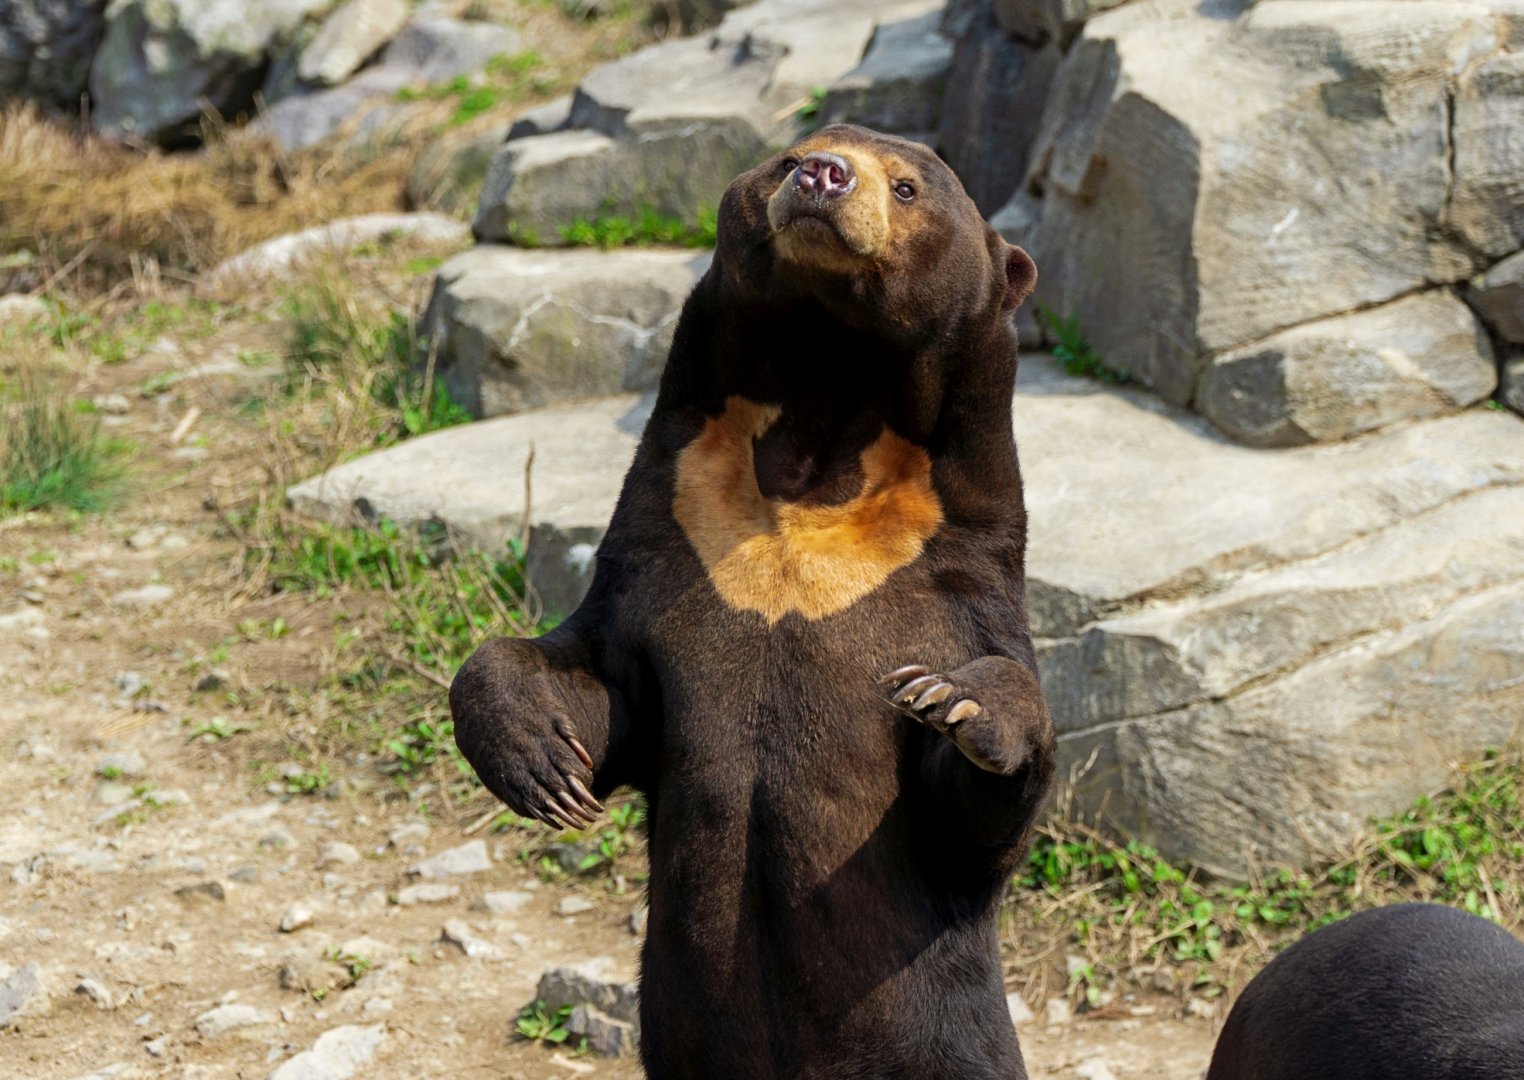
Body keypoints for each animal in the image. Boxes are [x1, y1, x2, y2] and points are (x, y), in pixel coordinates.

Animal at [450, 124, 1055, 1079]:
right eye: (792, 155)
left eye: (910, 187)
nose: (823, 175)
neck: (821, 421)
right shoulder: (677, 532)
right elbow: (600, 684)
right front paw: (544, 767)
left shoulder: (957, 580)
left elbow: (969, 816)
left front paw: (954, 700)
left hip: (944, 1042)